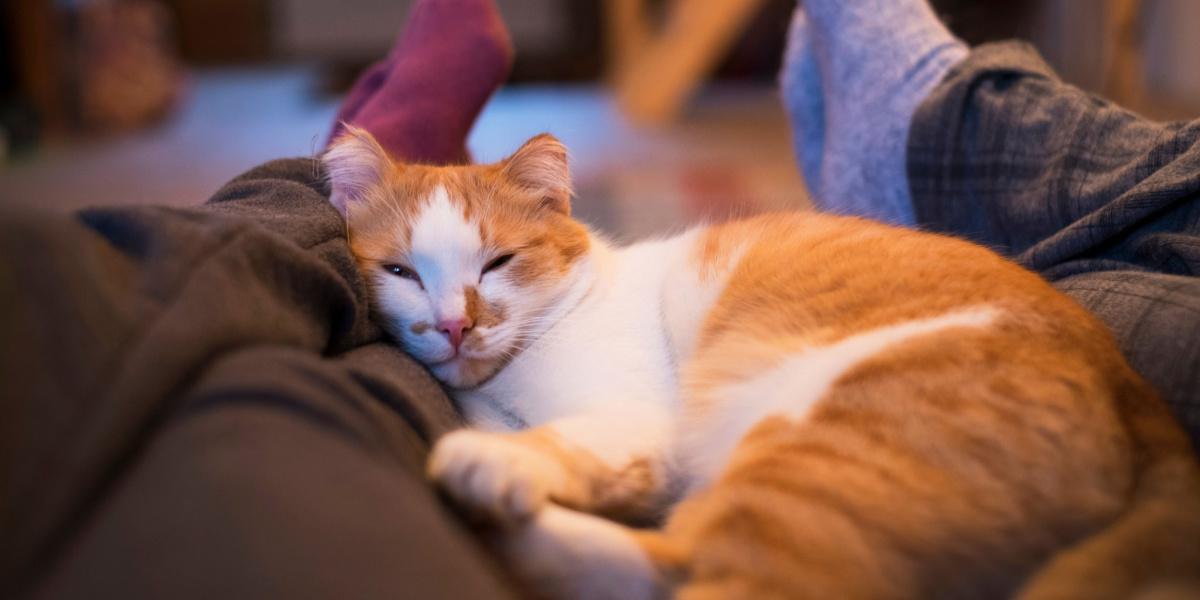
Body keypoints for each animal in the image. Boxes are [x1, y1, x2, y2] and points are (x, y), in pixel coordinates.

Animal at [324, 127, 1200, 600]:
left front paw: (495, 460)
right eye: (401, 272)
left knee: (711, 576)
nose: (454, 324)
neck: (504, 388)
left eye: (499, 262)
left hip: (807, 445)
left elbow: (563, 444)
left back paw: (483, 506)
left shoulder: (633, 421)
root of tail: (1138, 395)